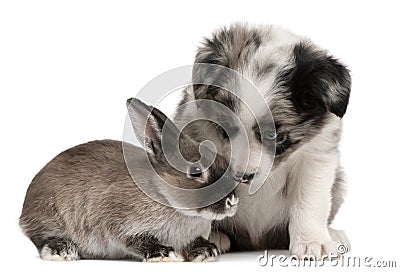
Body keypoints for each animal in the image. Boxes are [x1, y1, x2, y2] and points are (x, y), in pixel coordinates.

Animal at [19, 98, 238, 262]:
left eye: (224, 162)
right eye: (196, 172)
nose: (232, 202)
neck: (162, 195)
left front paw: (207, 251)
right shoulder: (117, 224)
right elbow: (135, 241)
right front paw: (163, 254)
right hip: (49, 216)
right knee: (41, 239)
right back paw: (62, 251)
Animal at [173, 23, 352, 260]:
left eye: (275, 136)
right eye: (225, 127)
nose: (243, 177)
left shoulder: (317, 155)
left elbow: (310, 200)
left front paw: (312, 242)